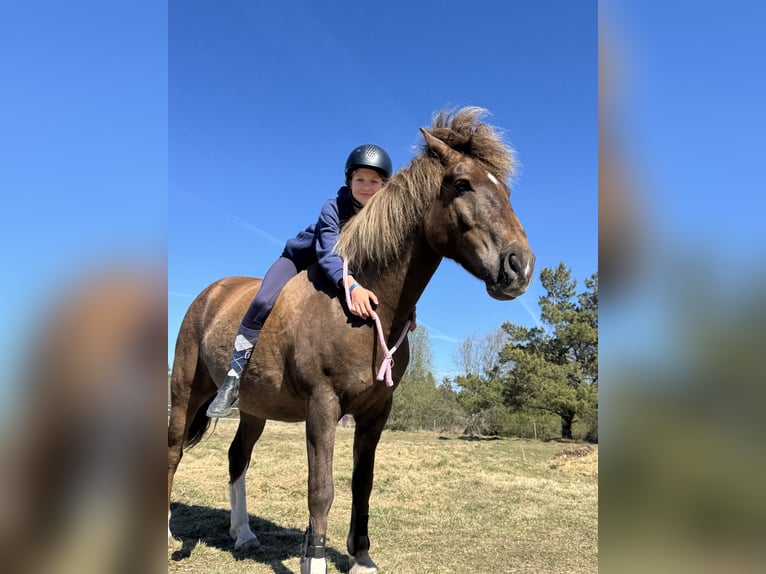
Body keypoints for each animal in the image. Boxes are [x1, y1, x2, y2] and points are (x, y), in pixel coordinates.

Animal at [167, 107, 535, 574]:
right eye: (462, 184)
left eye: (504, 189)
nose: (520, 265)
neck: (362, 308)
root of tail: (212, 292)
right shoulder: (322, 407)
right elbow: (321, 489)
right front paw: (316, 559)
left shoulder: (376, 411)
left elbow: (363, 482)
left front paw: (361, 556)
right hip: (185, 392)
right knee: (172, 453)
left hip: (253, 408)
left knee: (237, 457)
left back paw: (244, 534)